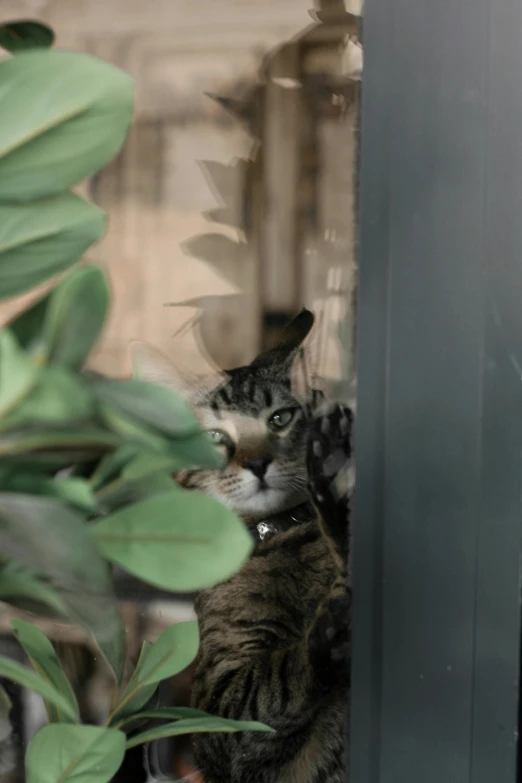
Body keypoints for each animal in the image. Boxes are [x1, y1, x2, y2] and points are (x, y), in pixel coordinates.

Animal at [133, 312, 354, 783]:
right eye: (216, 436)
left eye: (280, 418)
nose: (257, 462)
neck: (279, 534)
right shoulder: (220, 709)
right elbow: (281, 675)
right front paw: (330, 630)